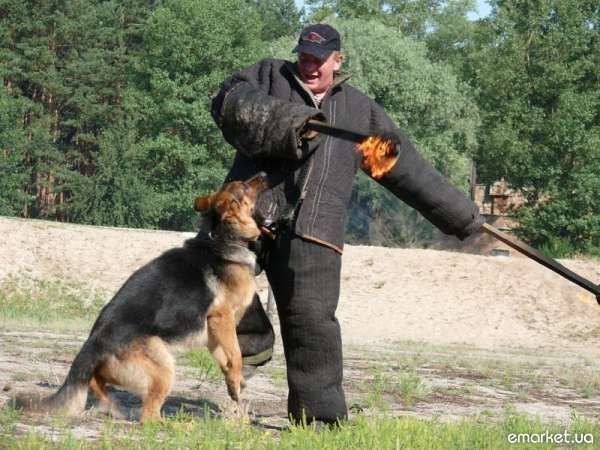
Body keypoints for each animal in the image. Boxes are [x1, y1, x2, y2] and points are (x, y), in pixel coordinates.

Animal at [13, 173, 268, 422]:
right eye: (245, 186)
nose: (264, 174)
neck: (222, 237)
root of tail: (93, 343)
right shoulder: (222, 317)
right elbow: (236, 354)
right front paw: (236, 379)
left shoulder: (214, 329)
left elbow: (225, 358)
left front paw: (234, 384)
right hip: (163, 367)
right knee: (148, 417)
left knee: (98, 383)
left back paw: (112, 406)